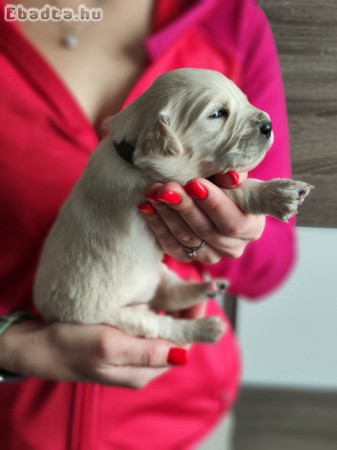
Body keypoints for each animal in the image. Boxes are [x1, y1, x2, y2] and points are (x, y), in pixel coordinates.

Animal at [32, 68, 312, 342]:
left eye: (244, 99)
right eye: (217, 114)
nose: (268, 125)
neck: (131, 156)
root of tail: (47, 311)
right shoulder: (169, 186)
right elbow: (228, 190)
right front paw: (280, 193)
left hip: (158, 271)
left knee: (169, 293)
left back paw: (209, 287)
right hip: (117, 316)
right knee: (163, 325)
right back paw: (205, 328)